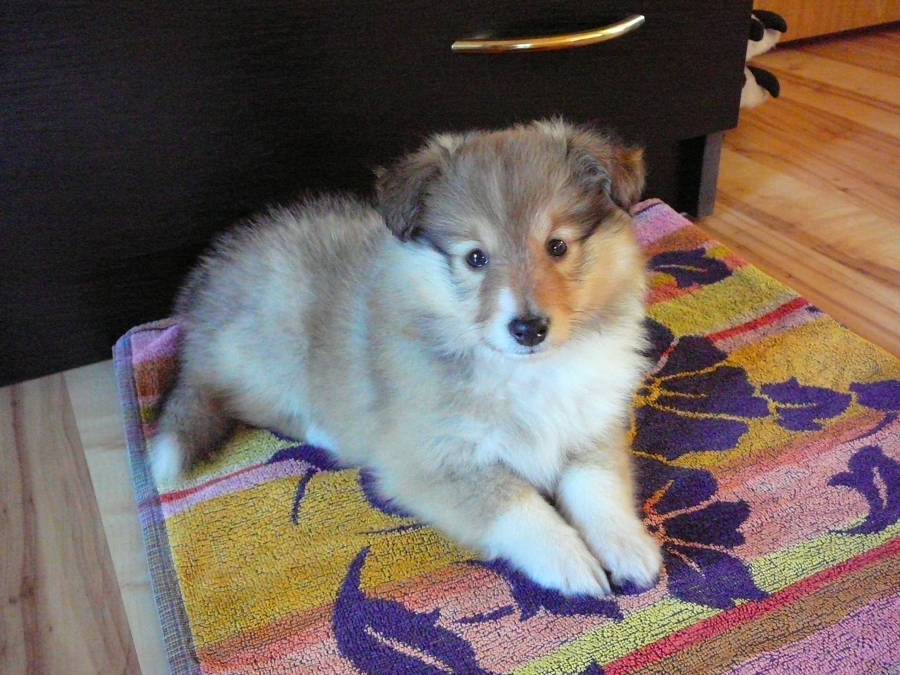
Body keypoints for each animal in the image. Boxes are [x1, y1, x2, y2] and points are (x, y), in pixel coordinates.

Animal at [149, 119, 663, 597]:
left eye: (557, 246)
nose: (528, 329)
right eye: (476, 258)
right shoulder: (432, 462)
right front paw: (570, 561)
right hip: (276, 341)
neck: (523, 372)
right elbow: (516, 502)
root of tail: (199, 306)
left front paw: (628, 547)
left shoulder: (592, 428)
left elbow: (599, 490)